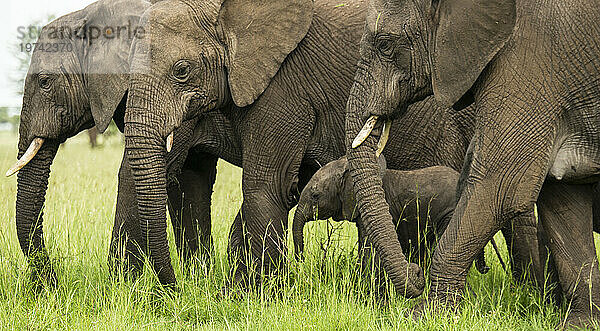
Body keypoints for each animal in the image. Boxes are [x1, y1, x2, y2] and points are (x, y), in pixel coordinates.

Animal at [344, 0, 600, 326]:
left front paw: (425, 315)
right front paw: (581, 324)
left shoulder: (530, 62)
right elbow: (563, 200)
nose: (415, 275)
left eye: (385, 45)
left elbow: (499, 189)